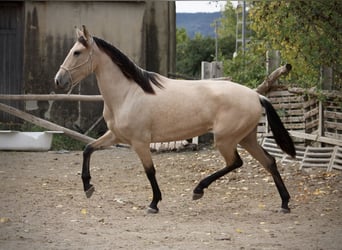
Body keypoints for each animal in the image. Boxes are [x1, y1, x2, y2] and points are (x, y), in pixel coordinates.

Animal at [54, 24, 296, 213]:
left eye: (77, 52)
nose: (59, 80)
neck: (128, 93)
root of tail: (257, 96)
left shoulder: (140, 142)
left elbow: (150, 171)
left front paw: (153, 204)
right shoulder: (115, 136)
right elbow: (88, 149)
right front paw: (88, 187)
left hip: (226, 140)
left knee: (236, 162)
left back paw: (198, 190)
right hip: (246, 138)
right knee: (269, 161)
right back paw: (284, 203)